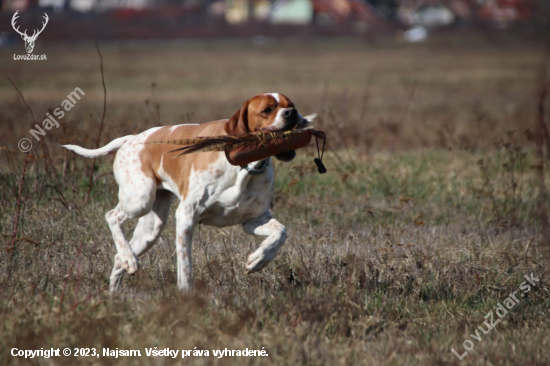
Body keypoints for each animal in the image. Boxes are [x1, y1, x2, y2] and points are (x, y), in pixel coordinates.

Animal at [63, 93, 314, 294]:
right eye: (267, 110)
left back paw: (118, 284)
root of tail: (131, 138)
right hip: (140, 199)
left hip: (151, 228)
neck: (244, 167)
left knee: (118, 258)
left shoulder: (253, 220)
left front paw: (259, 260)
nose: (292, 113)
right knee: (112, 216)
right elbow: (185, 269)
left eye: (291, 105)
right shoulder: (185, 218)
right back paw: (128, 259)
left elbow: (280, 232)